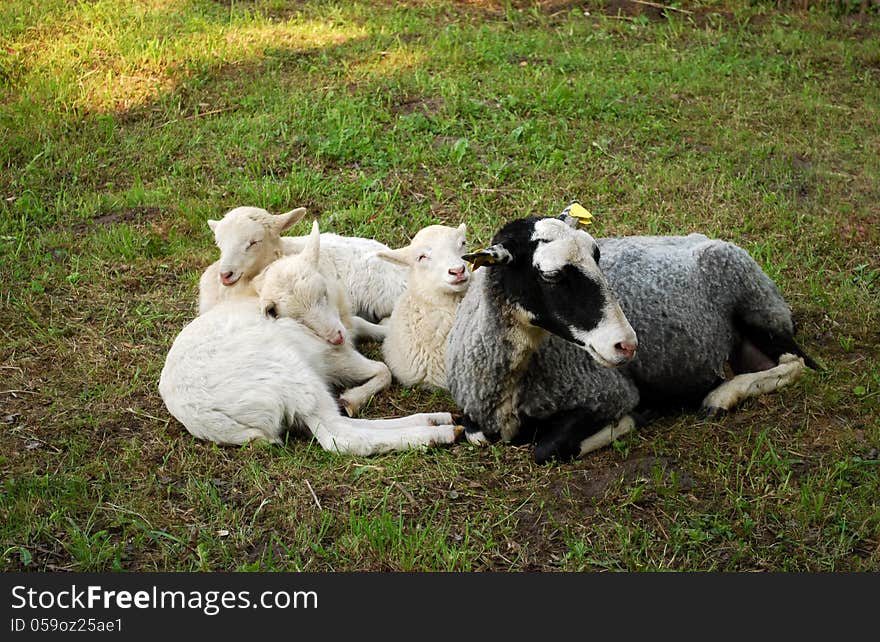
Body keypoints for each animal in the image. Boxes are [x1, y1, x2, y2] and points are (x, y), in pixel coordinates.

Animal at [160, 222, 460, 452]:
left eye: (323, 293)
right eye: (295, 316)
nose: (336, 337)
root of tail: (208, 419)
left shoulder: (345, 327)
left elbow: (364, 324)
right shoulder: (333, 356)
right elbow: (383, 370)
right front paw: (354, 397)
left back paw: (435, 420)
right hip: (293, 377)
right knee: (340, 437)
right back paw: (436, 432)